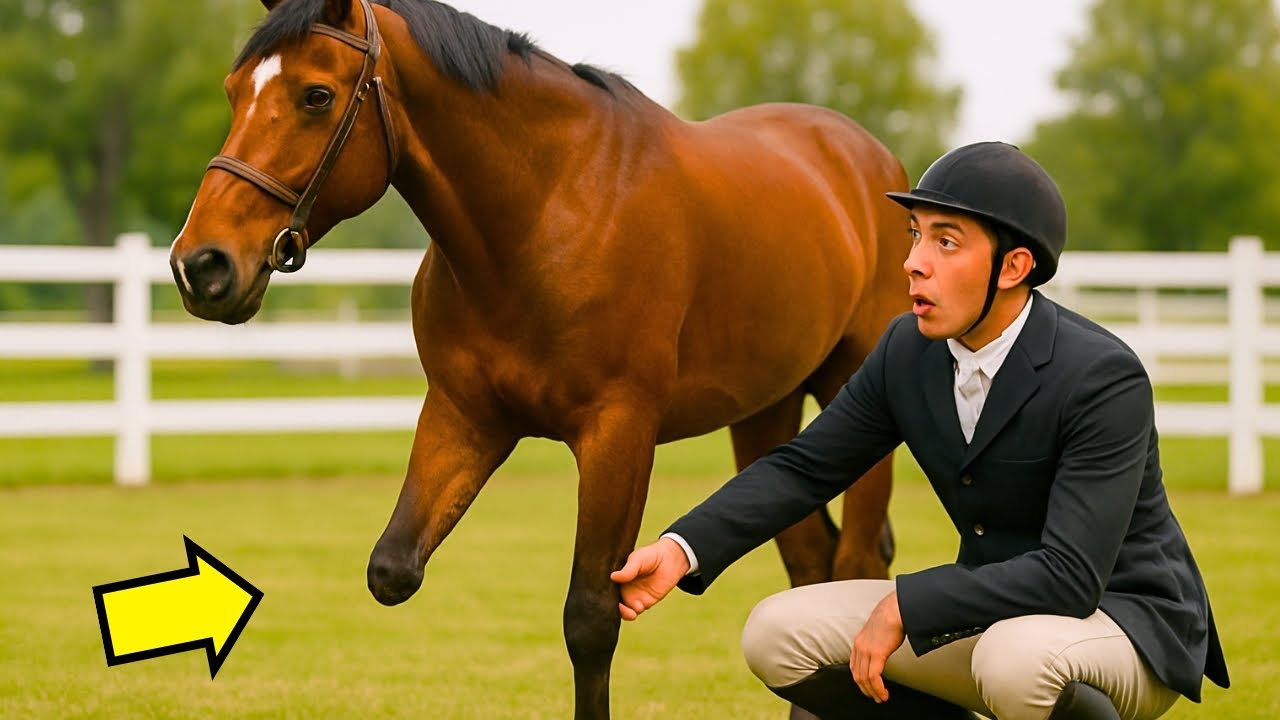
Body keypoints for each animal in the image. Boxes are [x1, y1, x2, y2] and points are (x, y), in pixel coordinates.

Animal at [169, 0, 910, 717]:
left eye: (316, 96)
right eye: (234, 92)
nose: (201, 266)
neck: (547, 208)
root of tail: (876, 163)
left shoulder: (618, 434)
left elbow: (589, 620)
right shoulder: (465, 419)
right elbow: (394, 570)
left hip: (855, 399)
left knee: (855, 561)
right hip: (765, 414)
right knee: (811, 563)